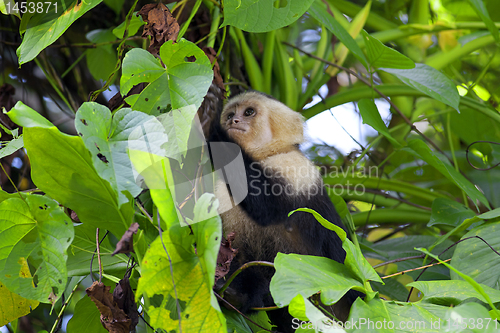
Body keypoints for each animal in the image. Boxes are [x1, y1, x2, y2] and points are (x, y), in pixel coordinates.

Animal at [207, 91, 364, 332]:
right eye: (231, 114)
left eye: (249, 112)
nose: (233, 121)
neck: (264, 157)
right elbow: (229, 249)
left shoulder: (294, 166)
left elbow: (267, 207)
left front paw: (213, 126)